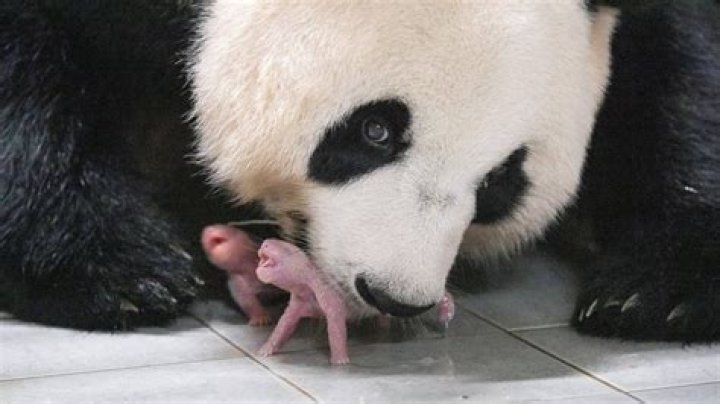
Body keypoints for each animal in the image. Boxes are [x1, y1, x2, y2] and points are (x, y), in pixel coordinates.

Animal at [1, 1, 719, 342]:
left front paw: (657, 292)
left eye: (500, 182)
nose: (395, 295)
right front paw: (118, 270)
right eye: (375, 131)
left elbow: (679, 71)